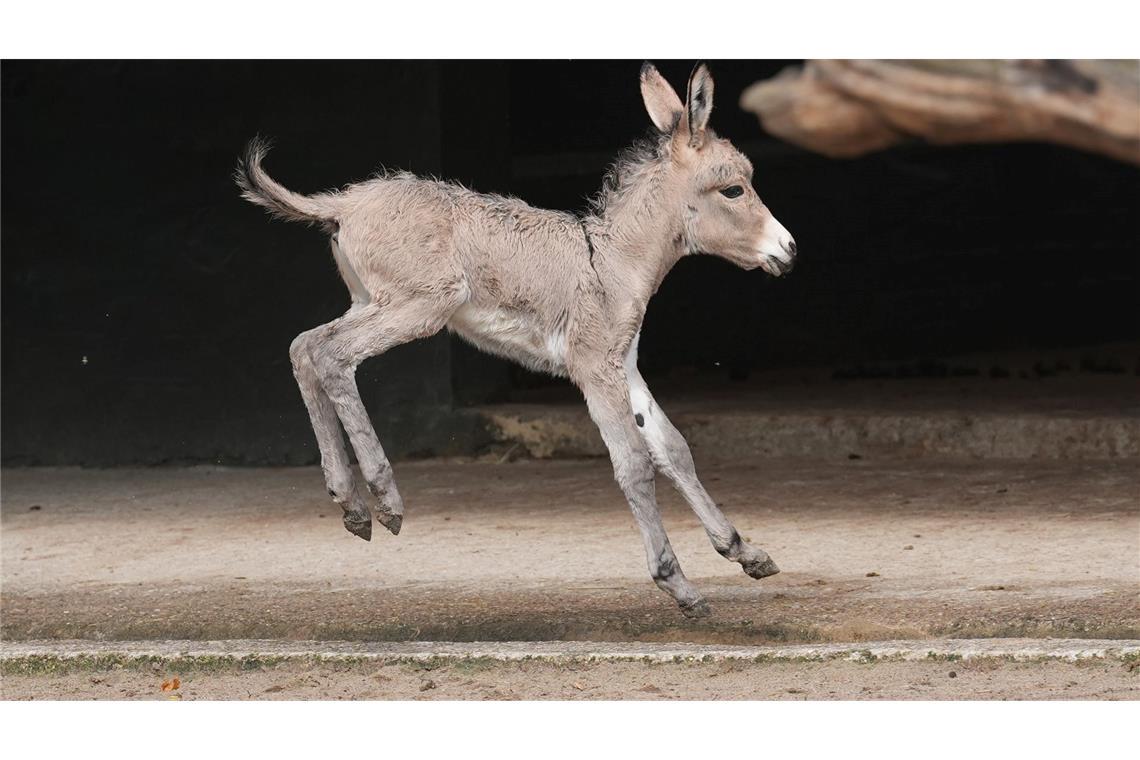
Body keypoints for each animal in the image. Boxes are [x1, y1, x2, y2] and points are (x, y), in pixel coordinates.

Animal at [235, 62, 798, 615]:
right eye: (734, 190)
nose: (789, 249)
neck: (614, 259)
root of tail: (346, 202)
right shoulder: (594, 366)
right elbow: (635, 464)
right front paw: (677, 584)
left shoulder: (625, 366)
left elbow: (674, 450)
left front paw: (744, 552)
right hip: (417, 306)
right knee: (331, 355)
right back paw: (384, 497)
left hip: (371, 302)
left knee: (304, 347)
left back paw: (350, 503)